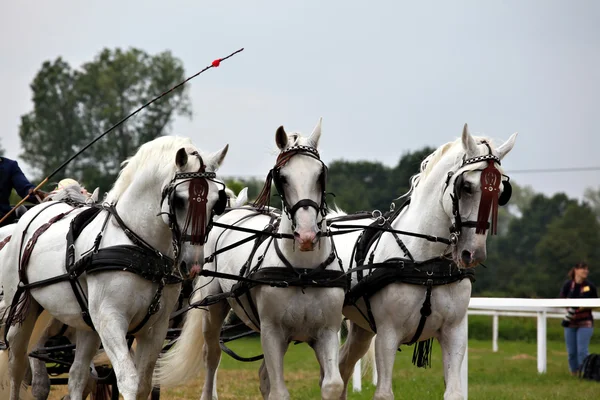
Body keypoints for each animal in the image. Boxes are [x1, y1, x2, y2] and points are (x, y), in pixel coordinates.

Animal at [0, 135, 230, 400]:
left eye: (217, 202)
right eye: (179, 200)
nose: (192, 266)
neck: (140, 248)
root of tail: (34, 213)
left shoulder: (155, 328)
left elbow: (143, 384)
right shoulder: (111, 320)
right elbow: (128, 380)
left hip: (87, 324)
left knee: (78, 375)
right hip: (22, 312)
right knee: (16, 366)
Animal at [155, 119, 344, 400]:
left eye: (320, 175)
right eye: (282, 177)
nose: (307, 235)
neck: (303, 271)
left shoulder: (328, 332)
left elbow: (332, 385)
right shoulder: (272, 332)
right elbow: (279, 392)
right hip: (213, 309)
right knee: (212, 356)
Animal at [330, 125, 516, 400]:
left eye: (501, 193)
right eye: (466, 186)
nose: (474, 254)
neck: (426, 266)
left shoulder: (454, 332)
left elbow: (454, 392)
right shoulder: (387, 334)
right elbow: (384, 393)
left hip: (362, 327)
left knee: (343, 366)